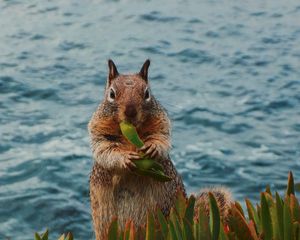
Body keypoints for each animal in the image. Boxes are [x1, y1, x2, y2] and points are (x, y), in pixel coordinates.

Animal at [87, 59, 232, 238]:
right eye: (112, 94)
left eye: (147, 93)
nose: (130, 112)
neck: (132, 133)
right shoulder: (98, 130)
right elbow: (104, 150)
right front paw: (125, 158)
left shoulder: (162, 123)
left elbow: (162, 138)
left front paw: (153, 148)